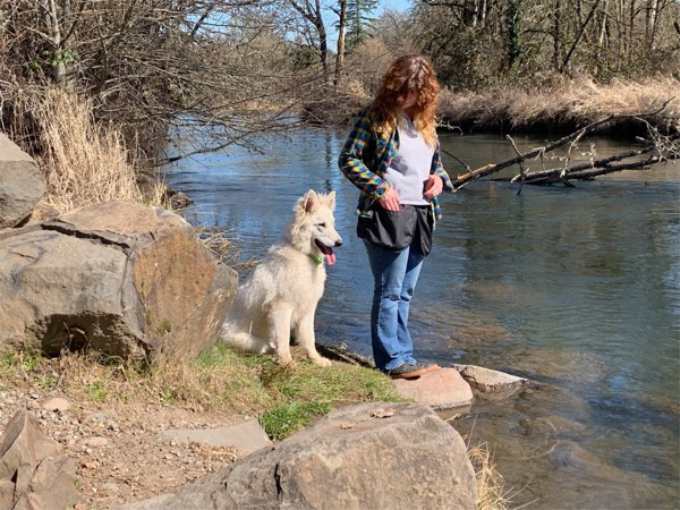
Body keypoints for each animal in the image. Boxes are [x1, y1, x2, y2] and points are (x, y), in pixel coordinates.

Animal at [220, 188, 342, 366]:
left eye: (332, 224)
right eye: (321, 225)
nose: (340, 243)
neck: (303, 254)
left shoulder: (308, 309)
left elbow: (309, 338)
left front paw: (316, 359)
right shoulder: (281, 307)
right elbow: (284, 337)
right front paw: (286, 361)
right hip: (253, 342)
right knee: (266, 346)